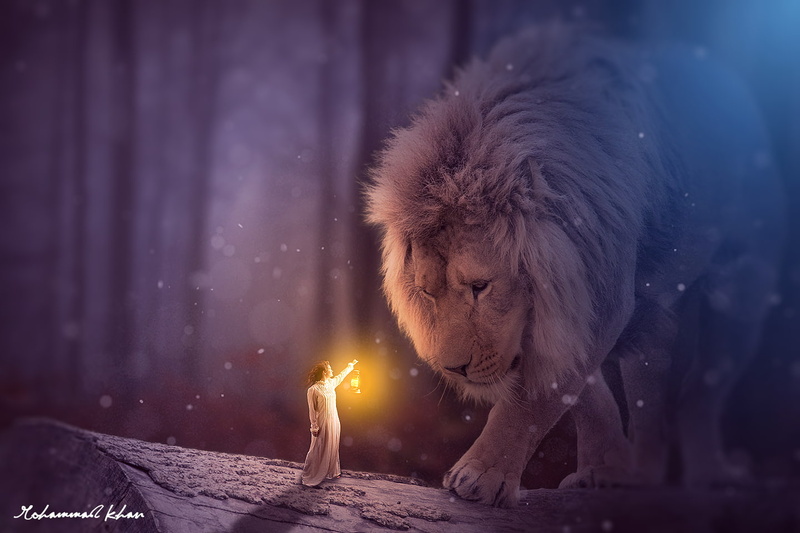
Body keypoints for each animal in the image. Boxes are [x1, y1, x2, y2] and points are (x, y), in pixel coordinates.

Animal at [366, 25, 784, 507]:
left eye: (481, 286)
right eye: (427, 290)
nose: (454, 370)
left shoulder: (597, 298)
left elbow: (535, 397)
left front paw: (481, 475)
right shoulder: (579, 305)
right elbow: (580, 391)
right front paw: (606, 466)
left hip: (742, 285)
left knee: (702, 388)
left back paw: (711, 473)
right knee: (652, 373)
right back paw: (640, 473)